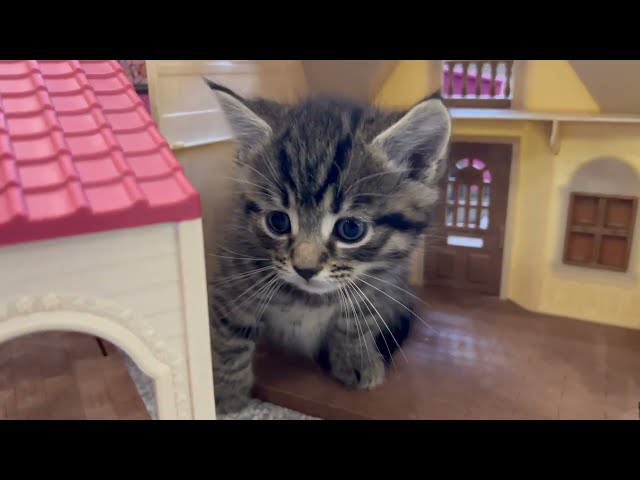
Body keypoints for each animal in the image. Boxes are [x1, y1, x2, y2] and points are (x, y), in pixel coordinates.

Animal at [205, 80, 450, 414]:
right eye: (278, 221)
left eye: (351, 229)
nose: (305, 268)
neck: (310, 299)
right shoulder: (233, 278)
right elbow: (229, 335)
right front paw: (224, 391)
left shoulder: (381, 282)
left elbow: (357, 318)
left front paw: (356, 358)